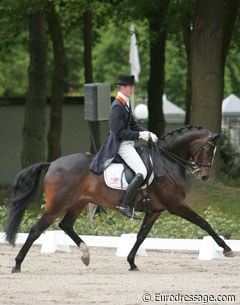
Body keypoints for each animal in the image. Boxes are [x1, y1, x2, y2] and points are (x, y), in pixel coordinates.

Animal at [4, 124, 233, 272]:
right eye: (208, 149)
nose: (204, 176)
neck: (168, 162)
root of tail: (52, 164)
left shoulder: (155, 210)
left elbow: (141, 236)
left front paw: (131, 262)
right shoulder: (176, 205)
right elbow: (204, 223)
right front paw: (227, 249)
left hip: (79, 202)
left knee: (66, 225)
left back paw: (85, 255)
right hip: (58, 204)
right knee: (36, 230)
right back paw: (17, 264)